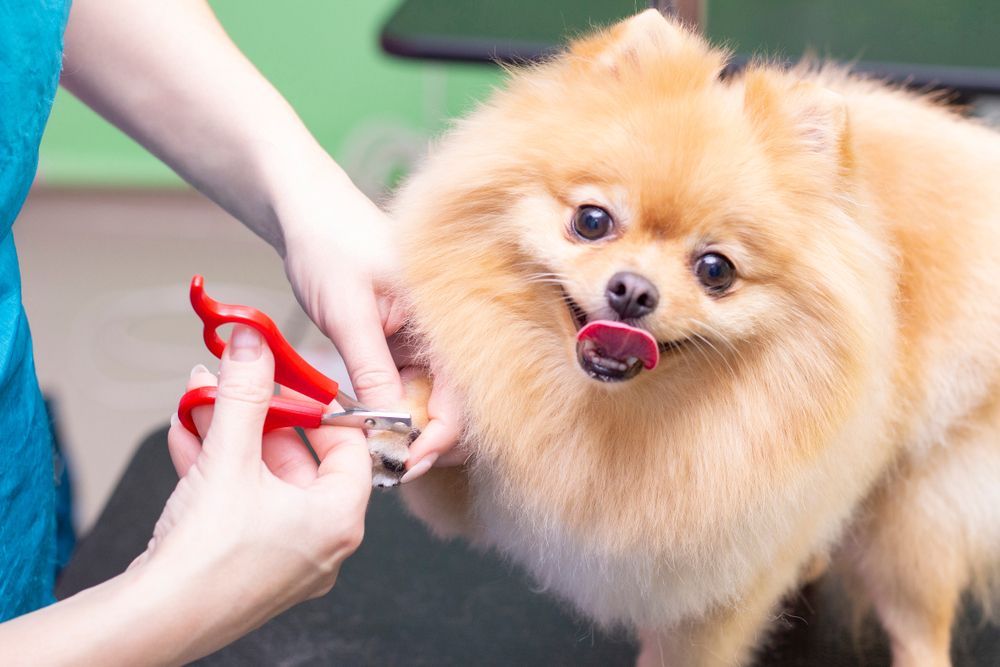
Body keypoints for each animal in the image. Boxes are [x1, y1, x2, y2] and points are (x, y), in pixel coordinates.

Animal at [370, 10, 1000, 667]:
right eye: (591, 221)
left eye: (715, 269)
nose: (632, 291)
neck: (605, 415)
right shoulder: (475, 490)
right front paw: (403, 414)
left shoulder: (715, 589)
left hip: (917, 518)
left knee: (918, 622)